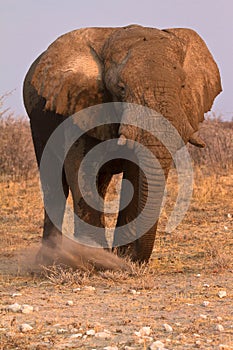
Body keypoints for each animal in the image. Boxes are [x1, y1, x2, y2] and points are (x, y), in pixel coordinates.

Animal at [22, 24, 221, 264]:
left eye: (182, 86)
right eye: (121, 88)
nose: (136, 258)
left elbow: (134, 174)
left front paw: (120, 257)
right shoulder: (78, 107)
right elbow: (80, 168)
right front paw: (97, 260)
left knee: (100, 183)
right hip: (38, 122)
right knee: (53, 179)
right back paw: (48, 261)